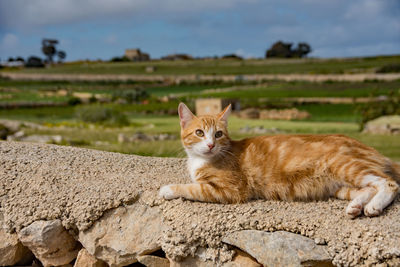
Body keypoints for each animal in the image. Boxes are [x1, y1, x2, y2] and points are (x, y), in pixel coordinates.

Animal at [160, 103, 400, 219]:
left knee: (389, 183)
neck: (201, 159)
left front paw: (167, 189)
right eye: (199, 133)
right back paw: (356, 206)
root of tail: (372, 149)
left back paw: (374, 207)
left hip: (346, 166)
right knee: (368, 188)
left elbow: (192, 188)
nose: (210, 145)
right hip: (340, 187)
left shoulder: (231, 189)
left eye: (218, 134)